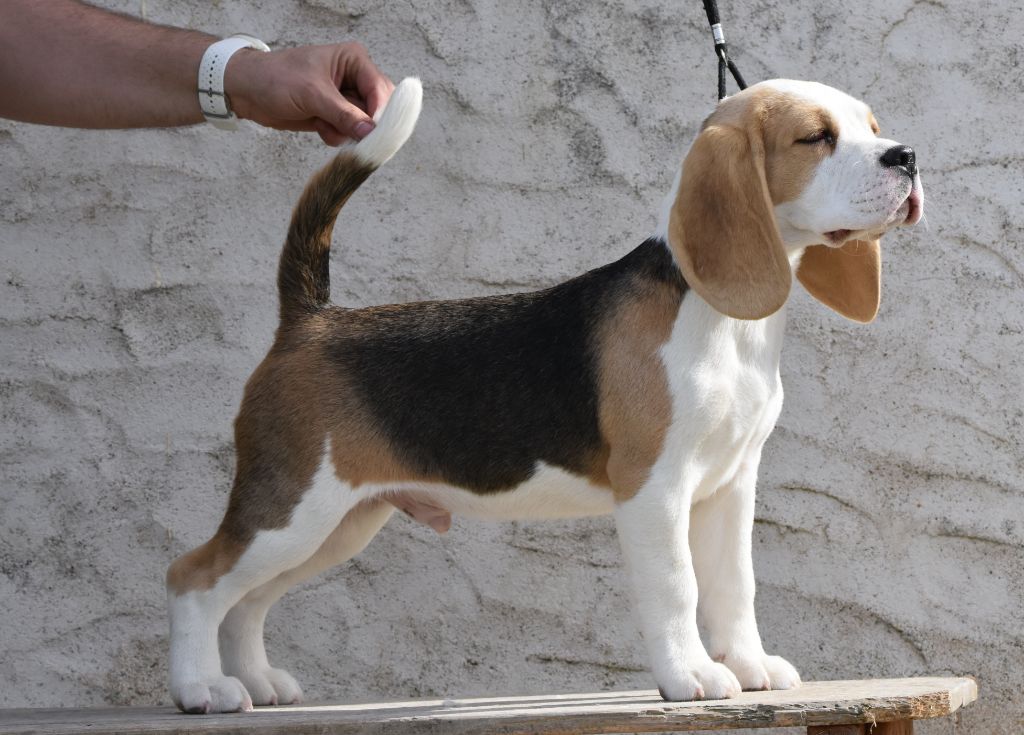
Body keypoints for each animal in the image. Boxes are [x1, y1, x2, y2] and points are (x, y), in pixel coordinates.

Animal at [165, 76, 921, 712]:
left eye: (872, 127)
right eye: (815, 137)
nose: (908, 156)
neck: (716, 315)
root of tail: (311, 319)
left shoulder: (730, 483)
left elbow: (735, 584)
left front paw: (751, 664)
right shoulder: (655, 487)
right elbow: (678, 586)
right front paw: (693, 674)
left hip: (336, 523)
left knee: (247, 600)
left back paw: (257, 680)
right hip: (293, 508)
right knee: (195, 578)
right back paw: (203, 687)